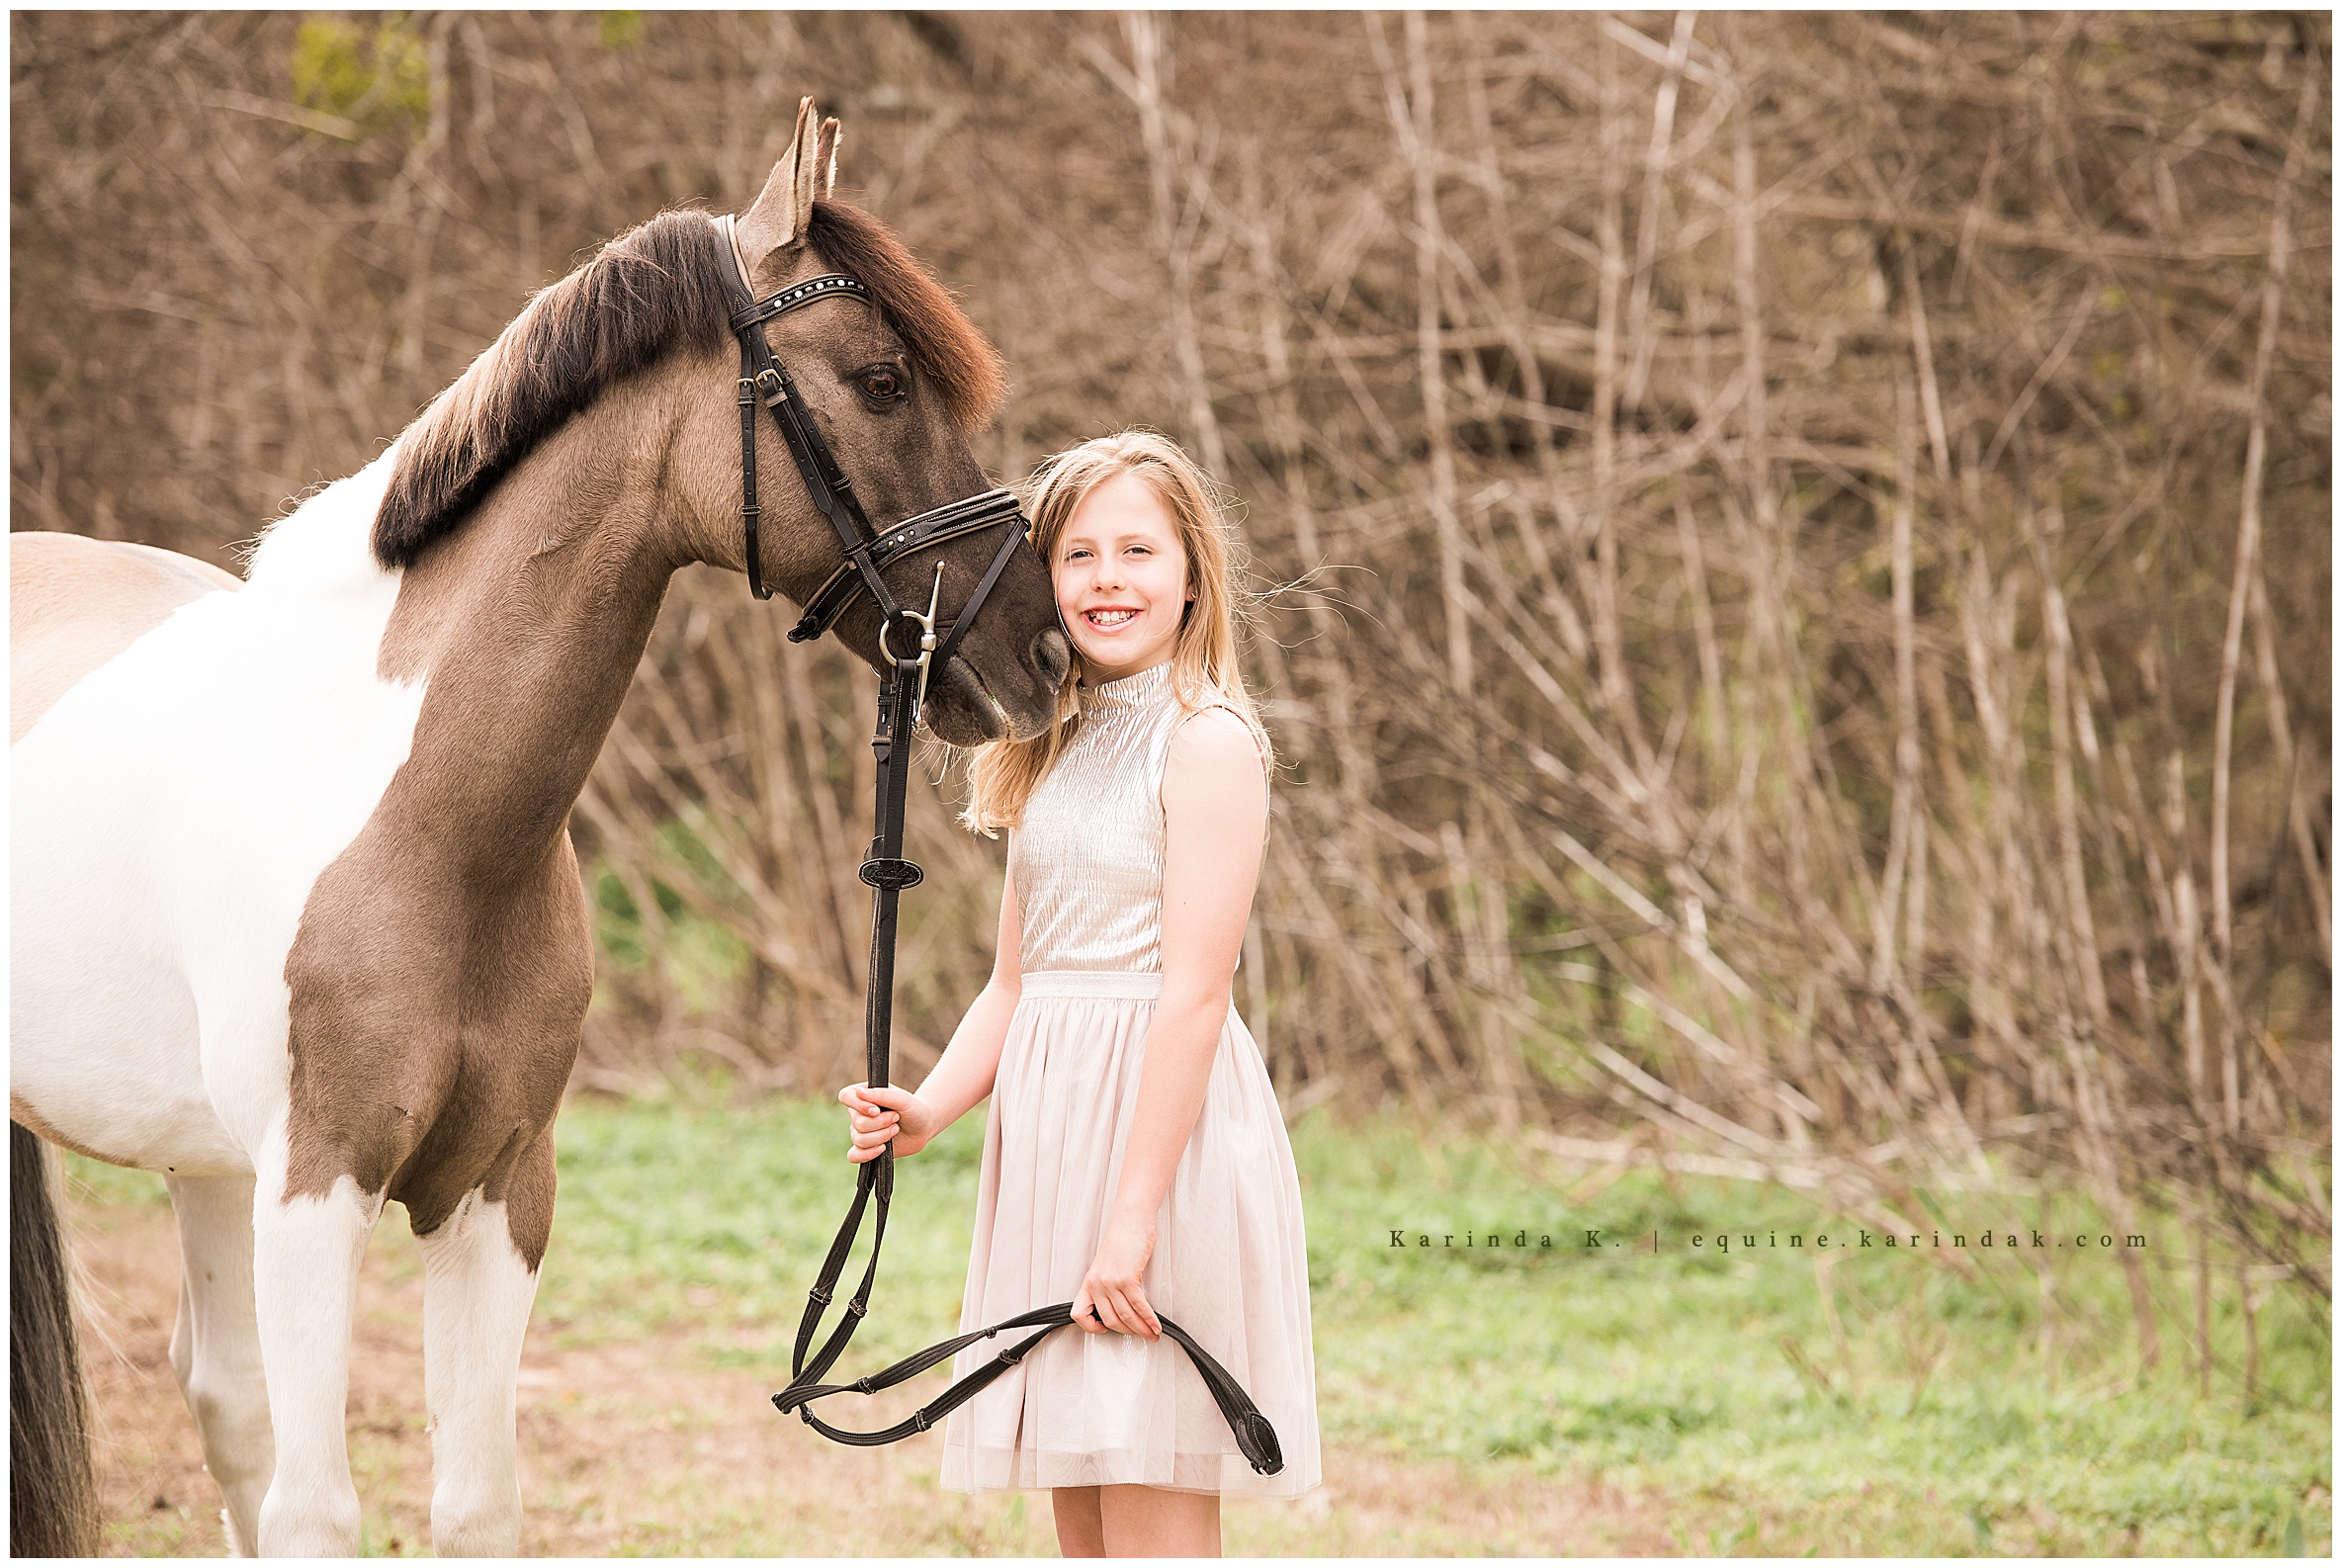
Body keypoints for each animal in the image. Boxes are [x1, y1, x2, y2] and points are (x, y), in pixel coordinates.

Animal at [9, 98, 1067, 1557]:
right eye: (879, 380)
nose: (1045, 651)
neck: (428, 830)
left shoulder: (499, 1193)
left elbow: (472, 1501)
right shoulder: (314, 1192)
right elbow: (318, 1506)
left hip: (205, 1158)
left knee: (222, 1403)